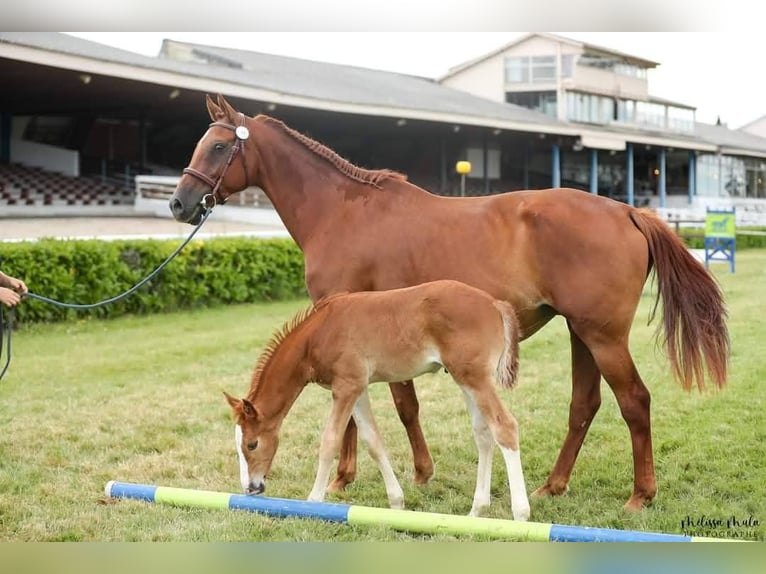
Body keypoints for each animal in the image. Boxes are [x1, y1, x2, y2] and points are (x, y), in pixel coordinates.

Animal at [224, 279, 531, 520]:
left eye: (252, 444)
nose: (251, 487)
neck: (319, 333)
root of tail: (495, 304)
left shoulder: (346, 387)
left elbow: (330, 441)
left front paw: (313, 503)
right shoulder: (358, 389)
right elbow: (373, 441)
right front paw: (397, 502)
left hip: (474, 377)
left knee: (505, 427)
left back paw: (520, 514)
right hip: (465, 378)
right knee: (483, 433)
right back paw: (477, 510)